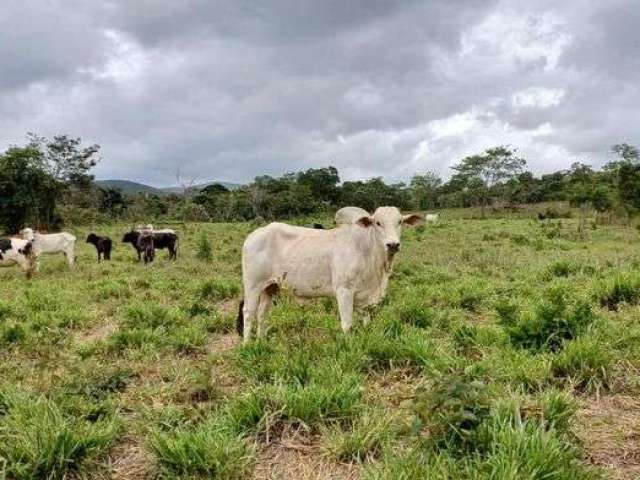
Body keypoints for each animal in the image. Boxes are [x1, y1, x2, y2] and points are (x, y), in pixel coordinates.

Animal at [238, 205, 422, 342]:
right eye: (378, 222)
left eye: (400, 222)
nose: (393, 245)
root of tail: (253, 235)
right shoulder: (344, 290)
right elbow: (347, 324)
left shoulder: (364, 295)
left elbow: (366, 320)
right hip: (253, 285)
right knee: (248, 313)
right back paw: (248, 345)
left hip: (270, 286)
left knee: (262, 314)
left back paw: (262, 342)